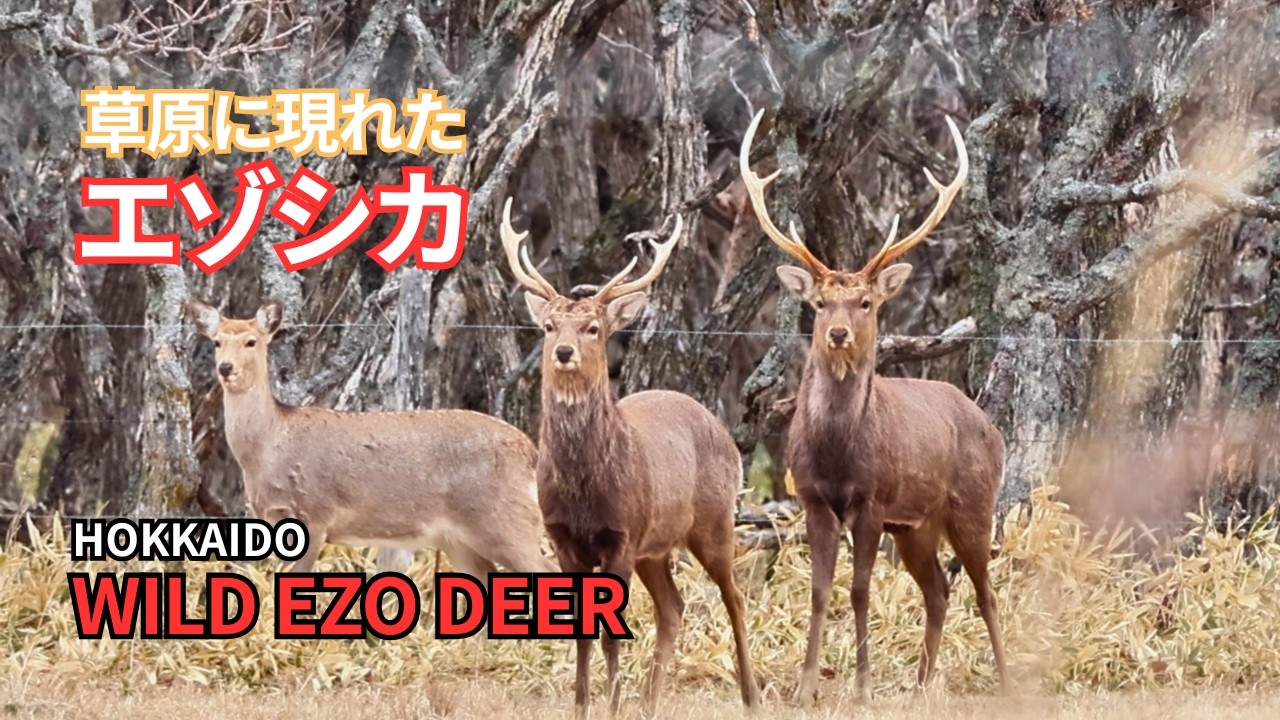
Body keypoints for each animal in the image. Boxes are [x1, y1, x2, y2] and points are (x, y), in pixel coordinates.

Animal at [187, 299, 557, 579]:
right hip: (460, 539)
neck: (269, 447)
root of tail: (530, 452)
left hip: (505, 521)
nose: (225, 368)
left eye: (251, 341)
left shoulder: (316, 513)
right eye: (217, 341)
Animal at [500, 198, 761, 717]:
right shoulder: (564, 539)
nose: (563, 351)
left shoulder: (621, 536)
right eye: (548, 325)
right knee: (673, 607)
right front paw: (582, 706)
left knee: (735, 596)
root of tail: (721, 428)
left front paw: (610, 705)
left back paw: (751, 696)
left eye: (593, 328)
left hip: (713, 520)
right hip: (655, 547)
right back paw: (649, 702)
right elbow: (582, 633)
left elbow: (611, 636)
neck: (584, 488)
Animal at [738, 109, 1008, 704]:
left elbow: (860, 590)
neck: (839, 455)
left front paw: (861, 689)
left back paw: (1007, 679)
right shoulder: (814, 500)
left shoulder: (871, 501)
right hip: (916, 526)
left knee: (985, 591)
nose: (837, 333)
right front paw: (805, 690)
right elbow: (820, 591)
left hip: (972, 504)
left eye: (865, 301)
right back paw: (919, 686)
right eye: (819, 302)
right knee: (938, 591)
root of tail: (990, 424)